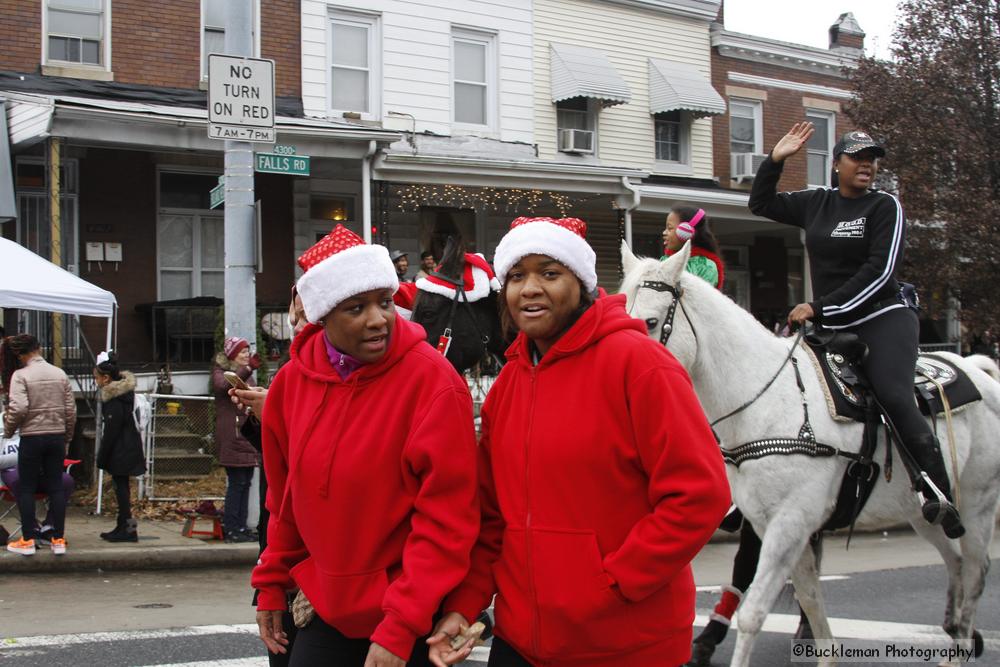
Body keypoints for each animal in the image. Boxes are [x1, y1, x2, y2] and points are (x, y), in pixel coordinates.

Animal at [620, 243, 996, 667]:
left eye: (651, 322)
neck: (766, 400)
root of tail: (980, 374)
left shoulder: (790, 522)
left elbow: (754, 614)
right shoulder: (771, 524)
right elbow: (811, 599)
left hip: (978, 505)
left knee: (976, 571)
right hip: (920, 514)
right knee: (956, 562)